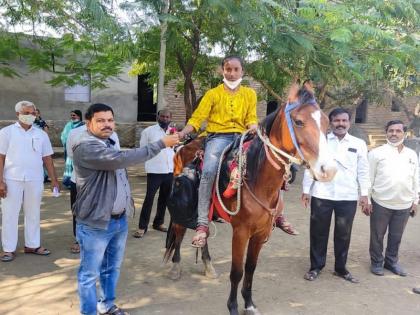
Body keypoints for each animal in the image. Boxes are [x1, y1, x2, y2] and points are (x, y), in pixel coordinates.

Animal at [163, 85, 334, 314]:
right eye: (298, 121)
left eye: (325, 122)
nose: (328, 170)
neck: (255, 176)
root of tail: (184, 147)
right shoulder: (241, 232)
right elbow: (237, 271)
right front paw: (233, 306)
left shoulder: (260, 233)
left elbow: (250, 268)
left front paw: (250, 304)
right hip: (184, 212)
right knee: (180, 232)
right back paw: (175, 267)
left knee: (203, 231)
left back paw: (208, 265)